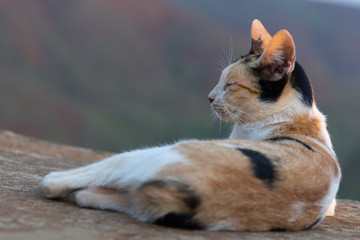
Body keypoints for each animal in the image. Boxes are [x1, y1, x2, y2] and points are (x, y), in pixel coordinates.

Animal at [42, 19, 340, 232]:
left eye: (230, 85)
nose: (209, 97)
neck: (292, 115)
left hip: (158, 153)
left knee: (105, 171)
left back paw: (55, 181)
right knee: (131, 200)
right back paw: (88, 194)